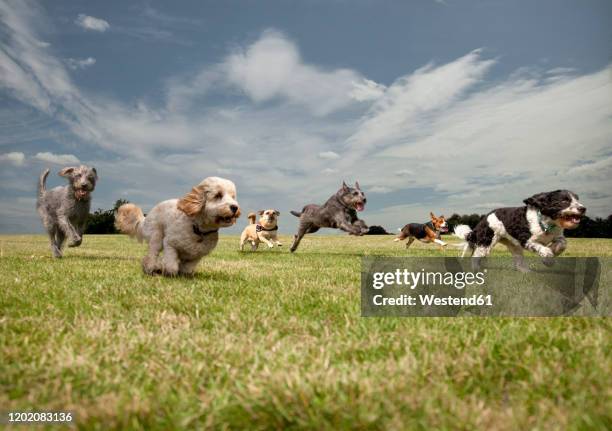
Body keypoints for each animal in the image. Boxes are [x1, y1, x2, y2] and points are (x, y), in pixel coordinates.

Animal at [456, 191, 584, 272]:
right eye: (564, 201)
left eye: (577, 199)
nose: (583, 208)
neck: (545, 223)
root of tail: (483, 219)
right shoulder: (526, 240)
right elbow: (544, 249)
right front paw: (548, 260)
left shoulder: (557, 236)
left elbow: (562, 244)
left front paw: (551, 254)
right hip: (487, 241)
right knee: (476, 256)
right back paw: (476, 271)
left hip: (514, 246)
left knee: (518, 261)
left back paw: (526, 271)